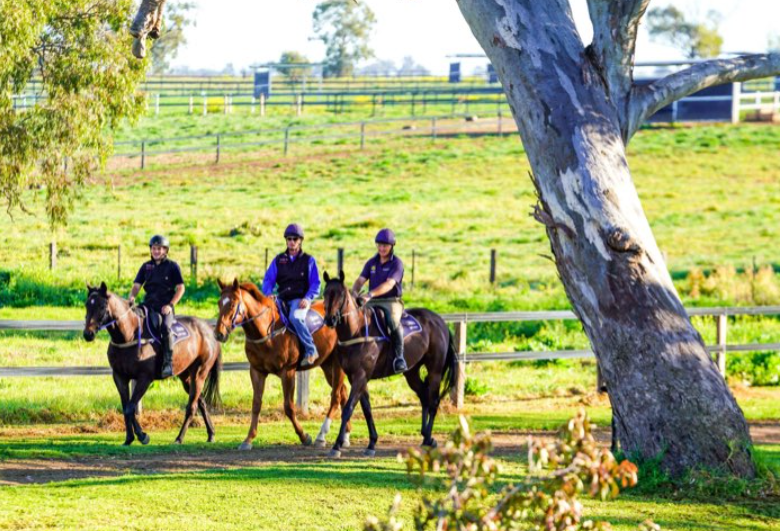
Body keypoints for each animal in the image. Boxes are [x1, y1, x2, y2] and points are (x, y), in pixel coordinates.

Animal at [83, 280, 222, 446]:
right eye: (87, 304)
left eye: (102, 306)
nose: (88, 334)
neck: (130, 335)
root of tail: (208, 330)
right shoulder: (119, 377)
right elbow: (126, 407)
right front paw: (129, 438)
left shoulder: (144, 378)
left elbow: (130, 407)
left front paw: (142, 436)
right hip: (186, 376)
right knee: (201, 402)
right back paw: (211, 434)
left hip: (199, 373)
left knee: (192, 406)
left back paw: (179, 438)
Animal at [215, 280, 352, 450]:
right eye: (219, 303)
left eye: (233, 304)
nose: (219, 334)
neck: (267, 332)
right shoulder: (257, 371)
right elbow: (256, 404)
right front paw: (248, 439)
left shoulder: (288, 372)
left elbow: (288, 406)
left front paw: (304, 436)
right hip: (327, 365)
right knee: (343, 392)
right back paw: (345, 436)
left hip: (337, 364)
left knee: (336, 396)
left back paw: (322, 436)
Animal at [322, 272, 458, 460]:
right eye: (325, 294)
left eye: (341, 295)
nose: (330, 319)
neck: (357, 330)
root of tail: (439, 321)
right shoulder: (357, 377)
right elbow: (367, 409)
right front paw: (372, 443)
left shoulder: (360, 376)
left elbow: (348, 408)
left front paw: (336, 446)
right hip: (411, 373)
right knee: (424, 396)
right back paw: (426, 437)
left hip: (435, 371)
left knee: (433, 401)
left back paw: (428, 437)